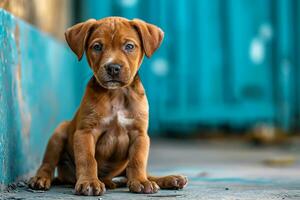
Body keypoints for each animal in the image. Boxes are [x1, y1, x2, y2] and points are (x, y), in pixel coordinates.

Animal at [28, 16, 188, 195]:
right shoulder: (85, 132)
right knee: (47, 163)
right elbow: (88, 159)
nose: (113, 67)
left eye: (129, 46)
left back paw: (169, 179)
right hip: (58, 134)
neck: (116, 94)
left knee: (137, 173)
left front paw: (140, 181)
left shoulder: (139, 134)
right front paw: (89, 182)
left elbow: (137, 161)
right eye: (97, 47)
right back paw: (40, 179)